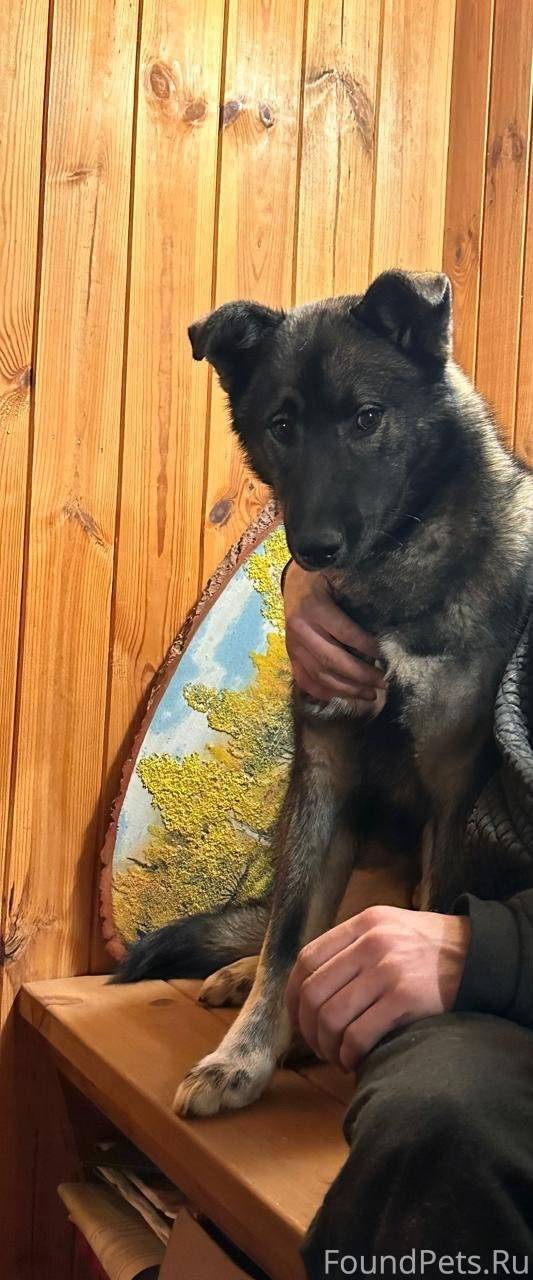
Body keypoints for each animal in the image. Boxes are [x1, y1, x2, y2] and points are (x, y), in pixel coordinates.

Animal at [116, 270, 533, 1118]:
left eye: (366, 419)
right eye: (283, 426)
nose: (310, 550)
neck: (394, 584)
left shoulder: (451, 795)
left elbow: (427, 911)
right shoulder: (324, 777)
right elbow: (284, 937)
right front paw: (244, 1054)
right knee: (292, 919)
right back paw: (246, 980)